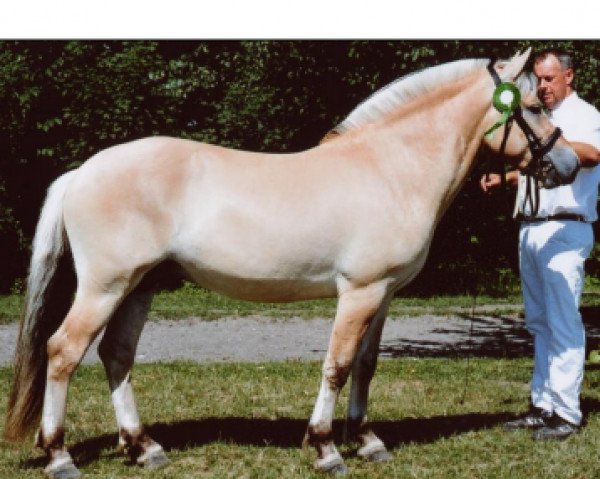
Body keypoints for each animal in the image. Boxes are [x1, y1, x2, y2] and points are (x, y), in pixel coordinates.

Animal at [2, 48, 580, 476]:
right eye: (532, 105)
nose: (570, 162)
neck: (390, 167)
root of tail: (82, 172)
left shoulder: (384, 294)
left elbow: (366, 366)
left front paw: (368, 441)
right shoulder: (359, 291)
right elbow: (338, 365)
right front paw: (326, 448)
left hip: (139, 286)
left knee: (116, 355)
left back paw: (145, 448)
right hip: (105, 286)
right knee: (63, 351)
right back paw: (59, 455)